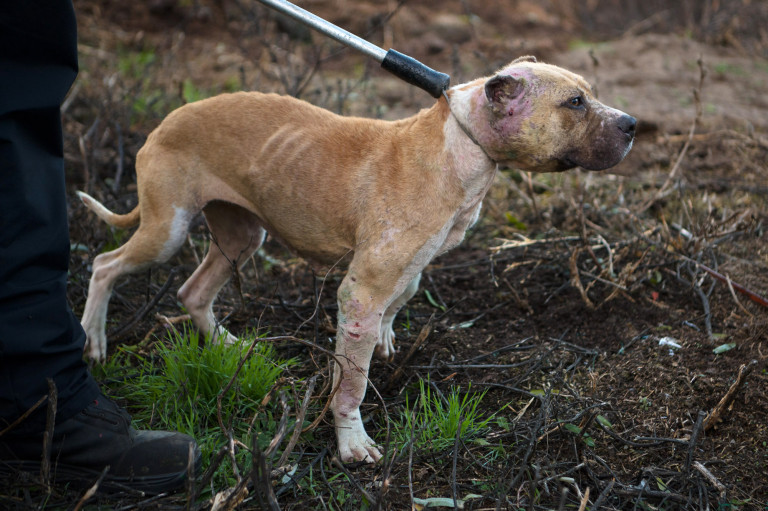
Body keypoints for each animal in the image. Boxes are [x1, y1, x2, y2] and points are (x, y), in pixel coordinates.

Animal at [76, 56, 636, 464]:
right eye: (575, 102)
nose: (633, 123)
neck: (461, 143)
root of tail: (168, 118)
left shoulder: (406, 268)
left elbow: (402, 298)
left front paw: (385, 339)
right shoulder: (361, 290)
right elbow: (352, 383)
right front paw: (351, 443)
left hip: (241, 235)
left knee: (192, 291)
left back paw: (228, 347)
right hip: (165, 231)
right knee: (105, 264)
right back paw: (94, 341)